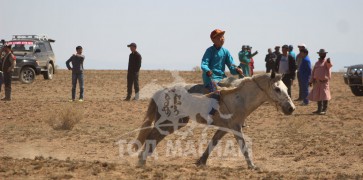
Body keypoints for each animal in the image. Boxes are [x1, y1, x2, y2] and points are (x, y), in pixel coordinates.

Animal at [134, 72, 296, 169]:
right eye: (277, 89)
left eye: (286, 87)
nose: (291, 108)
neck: (239, 97)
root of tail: (162, 91)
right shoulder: (236, 127)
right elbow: (243, 146)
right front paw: (252, 166)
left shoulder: (225, 128)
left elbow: (213, 143)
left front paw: (201, 161)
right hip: (169, 121)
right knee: (152, 135)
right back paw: (142, 160)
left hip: (176, 122)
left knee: (155, 136)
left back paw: (144, 158)